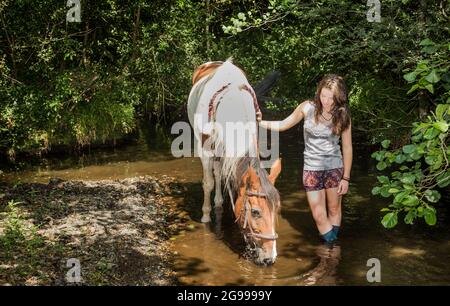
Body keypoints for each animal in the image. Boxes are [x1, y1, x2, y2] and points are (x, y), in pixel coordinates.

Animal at [186, 59, 282, 266]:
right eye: (255, 212)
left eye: (277, 210)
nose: (269, 258)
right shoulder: (205, 151)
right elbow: (208, 183)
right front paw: (205, 216)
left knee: (219, 172)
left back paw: (219, 202)